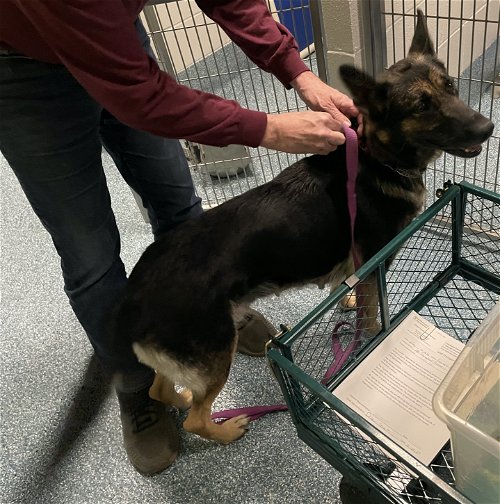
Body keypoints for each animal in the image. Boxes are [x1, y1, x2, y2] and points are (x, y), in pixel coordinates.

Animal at [111, 10, 494, 444]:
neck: (376, 155)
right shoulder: (376, 263)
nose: (487, 127)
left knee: (161, 389)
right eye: (422, 106)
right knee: (194, 417)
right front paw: (369, 337)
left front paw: (345, 300)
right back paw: (226, 430)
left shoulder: (360, 265)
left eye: (450, 86)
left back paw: (180, 401)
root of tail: (132, 297)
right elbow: (372, 316)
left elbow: (354, 289)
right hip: (215, 352)